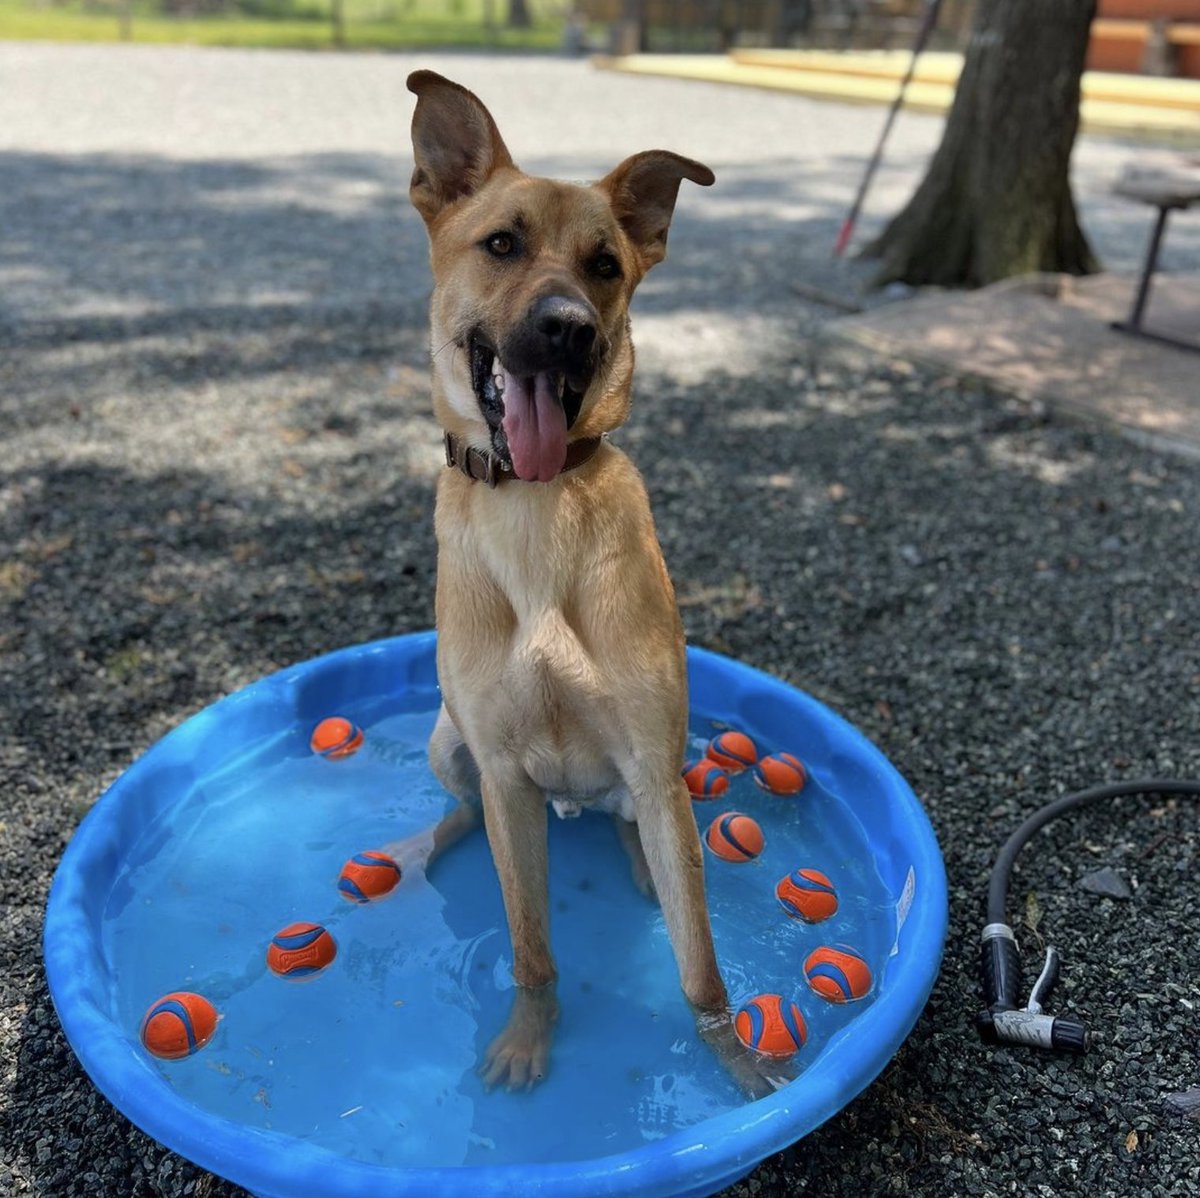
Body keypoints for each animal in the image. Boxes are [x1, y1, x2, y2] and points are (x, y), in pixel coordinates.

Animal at [403, 68, 777, 1099]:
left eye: (605, 264)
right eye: (501, 243)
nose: (567, 329)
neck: (538, 507)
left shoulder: (652, 760)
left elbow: (701, 967)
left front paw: (735, 1064)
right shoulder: (501, 769)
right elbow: (531, 949)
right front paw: (528, 1040)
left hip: (656, 781)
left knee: (646, 840)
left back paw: (644, 866)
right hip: (449, 745)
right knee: (461, 811)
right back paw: (423, 849)